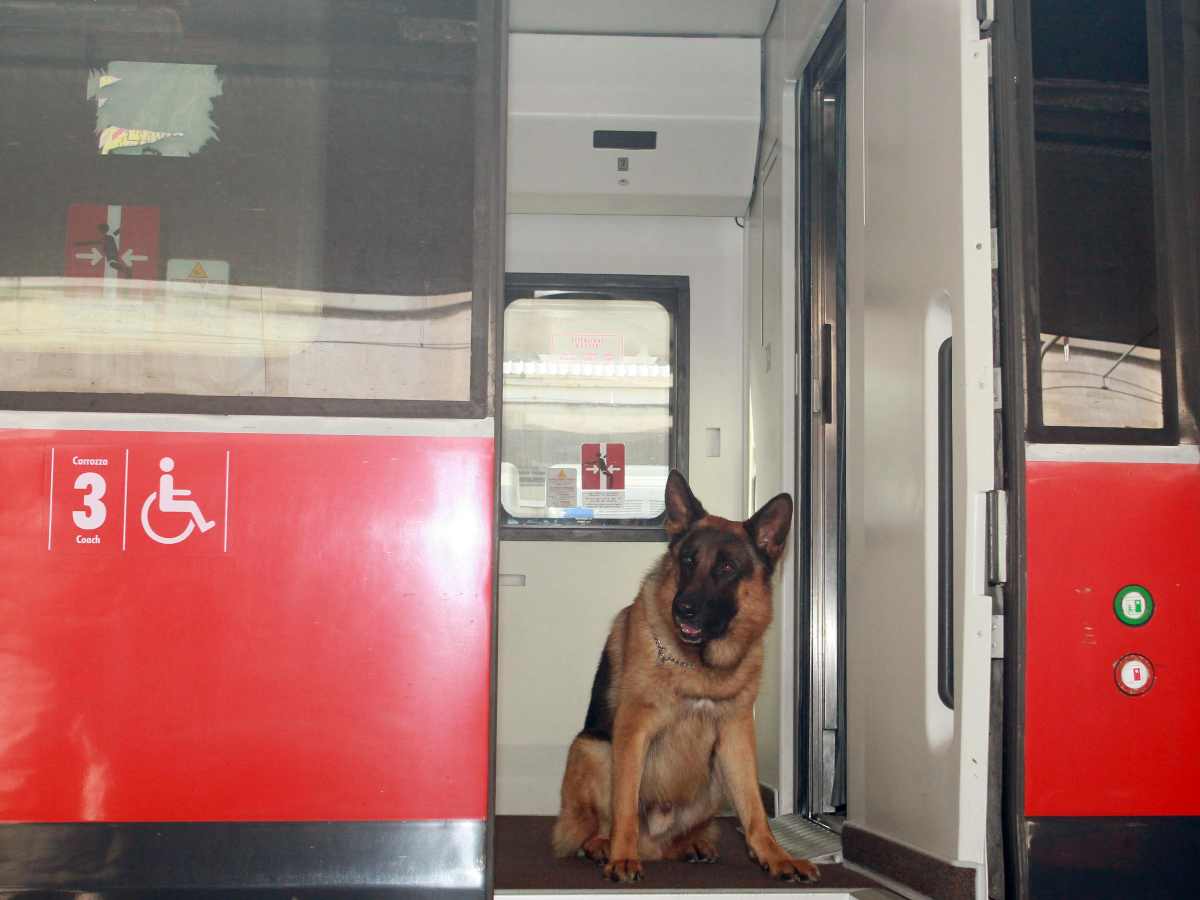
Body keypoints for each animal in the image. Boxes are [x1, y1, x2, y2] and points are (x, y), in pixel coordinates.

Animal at [549, 472, 816, 888]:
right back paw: (604, 847)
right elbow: (624, 805)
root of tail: (652, 844)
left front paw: (775, 856)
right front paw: (621, 857)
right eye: (688, 561)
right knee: (590, 829)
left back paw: (691, 845)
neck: (700, 666)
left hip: (714, 778)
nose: (683, 608)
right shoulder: (633, 729)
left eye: (727, 567)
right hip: (594, 748)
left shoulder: (736, 736)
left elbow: (755, 809)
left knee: (679, 838)